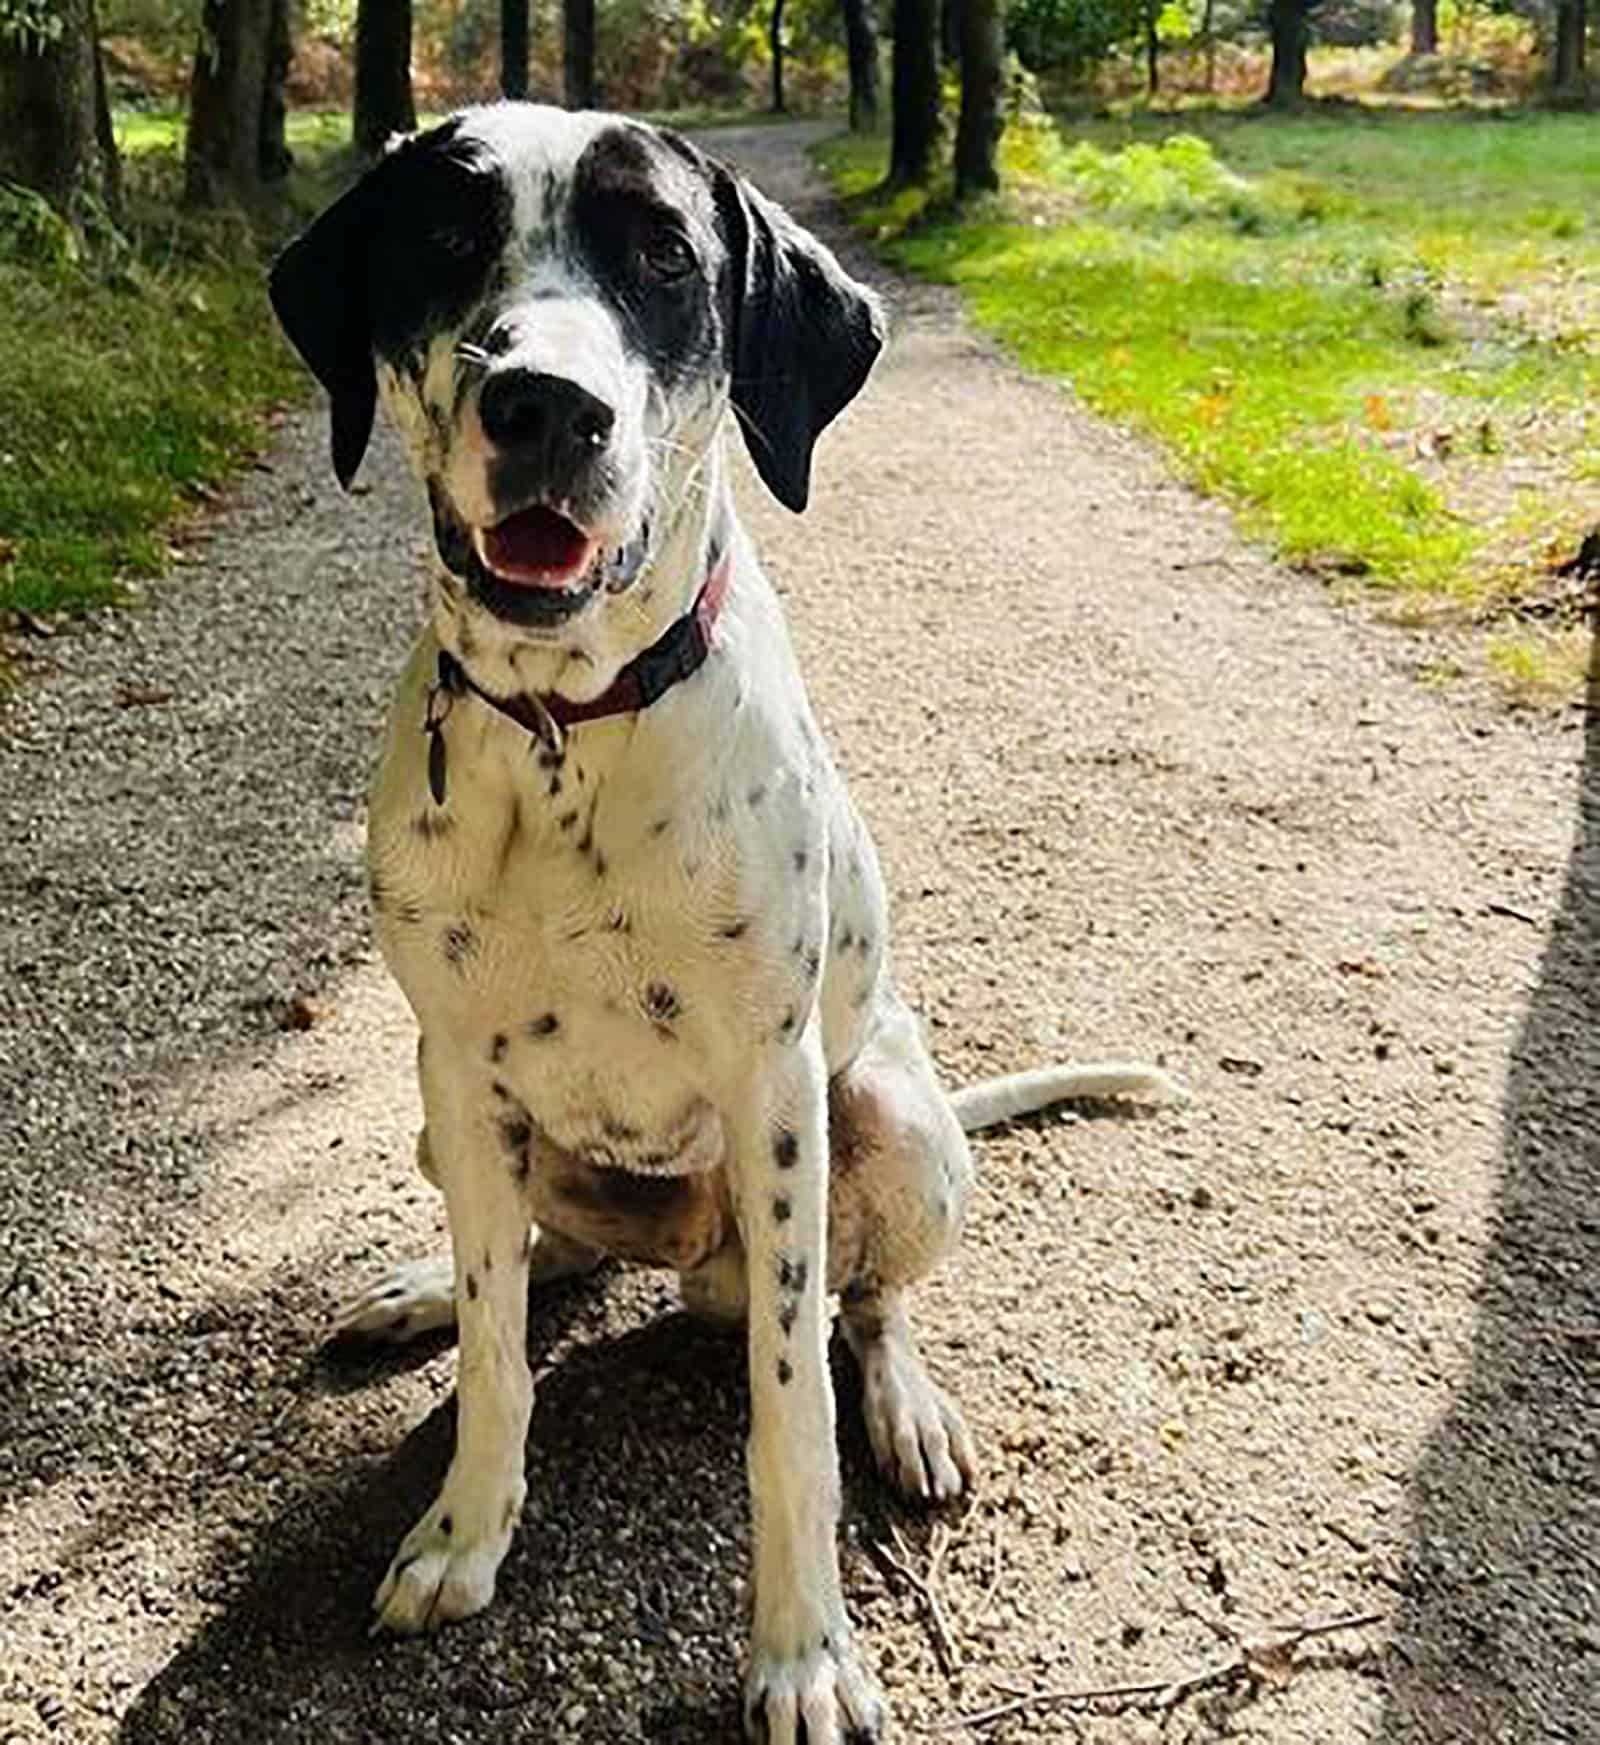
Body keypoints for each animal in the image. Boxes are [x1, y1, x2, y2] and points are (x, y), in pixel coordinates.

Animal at [268, 102, 1172, 1738]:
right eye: (443, 238)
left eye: (664, 258)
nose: (545, 409)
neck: (565, 731)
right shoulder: (457, 1060)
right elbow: (500, 1348)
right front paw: (464, 1523)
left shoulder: (772, 1090)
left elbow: (788, 1407)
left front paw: (805, 1649)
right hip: (446, 1114)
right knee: (543, 1256)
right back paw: (432, 1289)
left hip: (887, 1113)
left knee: (865, 1306)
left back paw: (908, 1405)